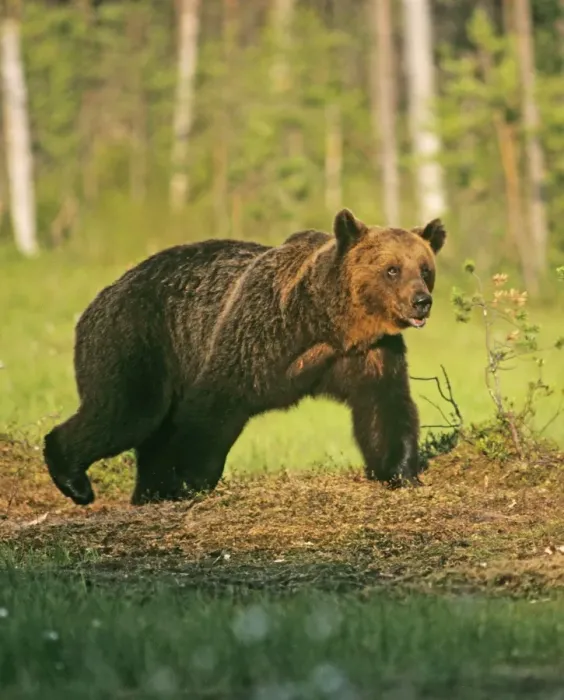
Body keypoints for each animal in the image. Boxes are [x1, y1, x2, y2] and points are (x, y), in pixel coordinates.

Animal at [43, 208, 446, 506]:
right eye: (392, 269)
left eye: (425, 269)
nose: (421, 301)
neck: (330, 322)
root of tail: (100, 297)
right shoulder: (259, 334)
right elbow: (212, 404)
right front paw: (187, 478)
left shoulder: (369, 354)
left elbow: (384, 406)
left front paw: (401, 472)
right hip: (138, 338)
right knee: (128, 411)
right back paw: (75, 479)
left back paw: (147, 492)